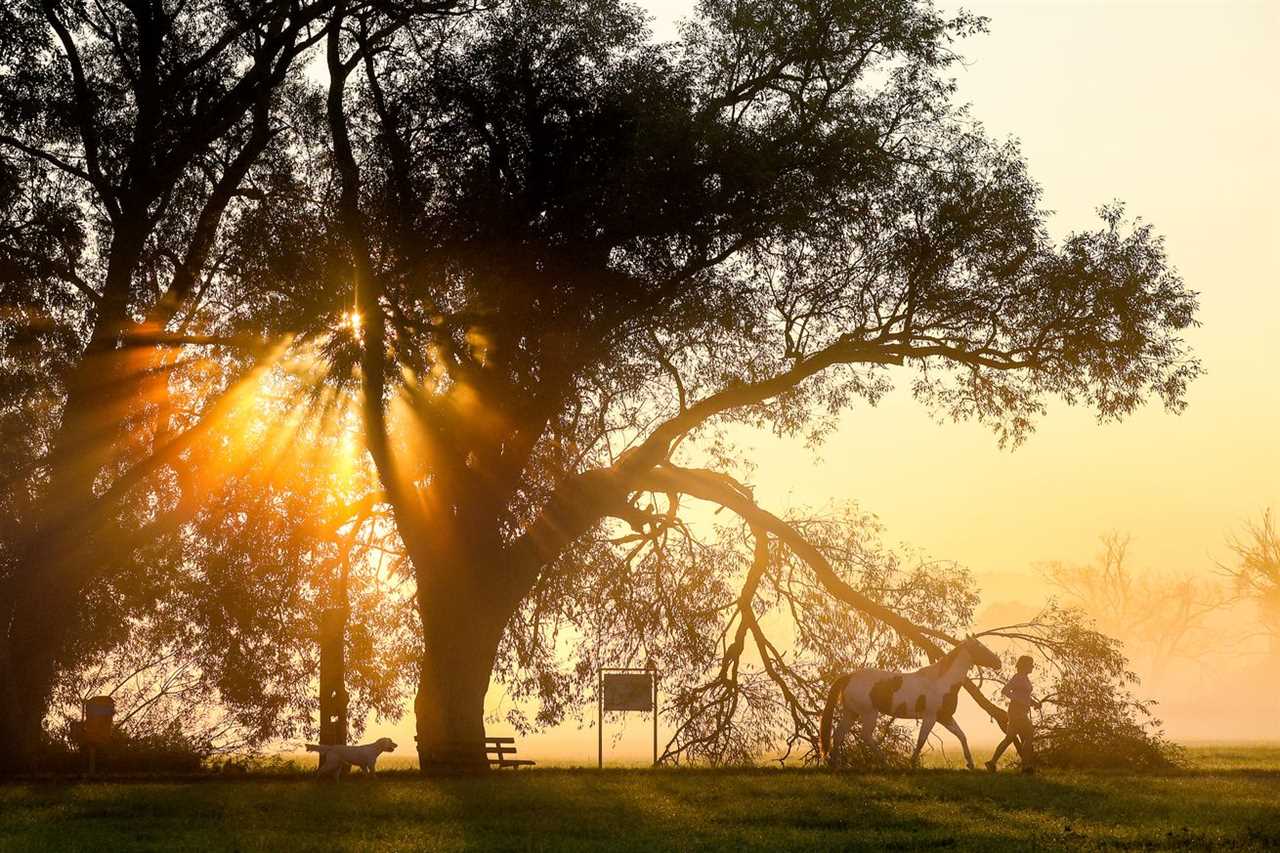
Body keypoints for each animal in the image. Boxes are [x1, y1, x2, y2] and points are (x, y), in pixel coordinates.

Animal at [819, 635, 998, 768]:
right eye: (980, 647)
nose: (998, 662)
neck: (942, 682)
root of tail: (849, 677)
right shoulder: (930, 717)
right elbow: (921, 740)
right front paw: (911, 763)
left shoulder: (945, 717)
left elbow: (962, 736)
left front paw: (970, 763)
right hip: (868, 713)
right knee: (865, 736)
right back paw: (885, 762)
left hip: (851, 712)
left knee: (838, 734)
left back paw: (836, 765)